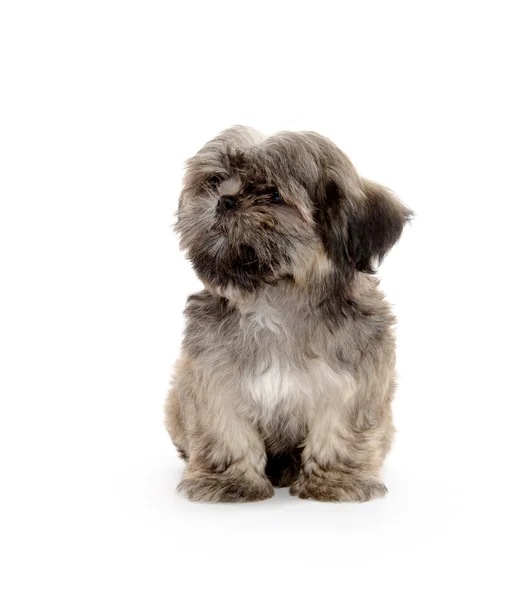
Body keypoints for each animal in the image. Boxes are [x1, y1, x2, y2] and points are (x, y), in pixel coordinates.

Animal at [165, 125, 412, 502]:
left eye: (272, 194)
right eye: (215, 180)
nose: (225, 200)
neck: (274, 299)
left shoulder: (354, 380)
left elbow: (339, 429)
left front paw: (335, 481)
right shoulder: (212, 376)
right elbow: (226, 430)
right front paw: (229, 482)